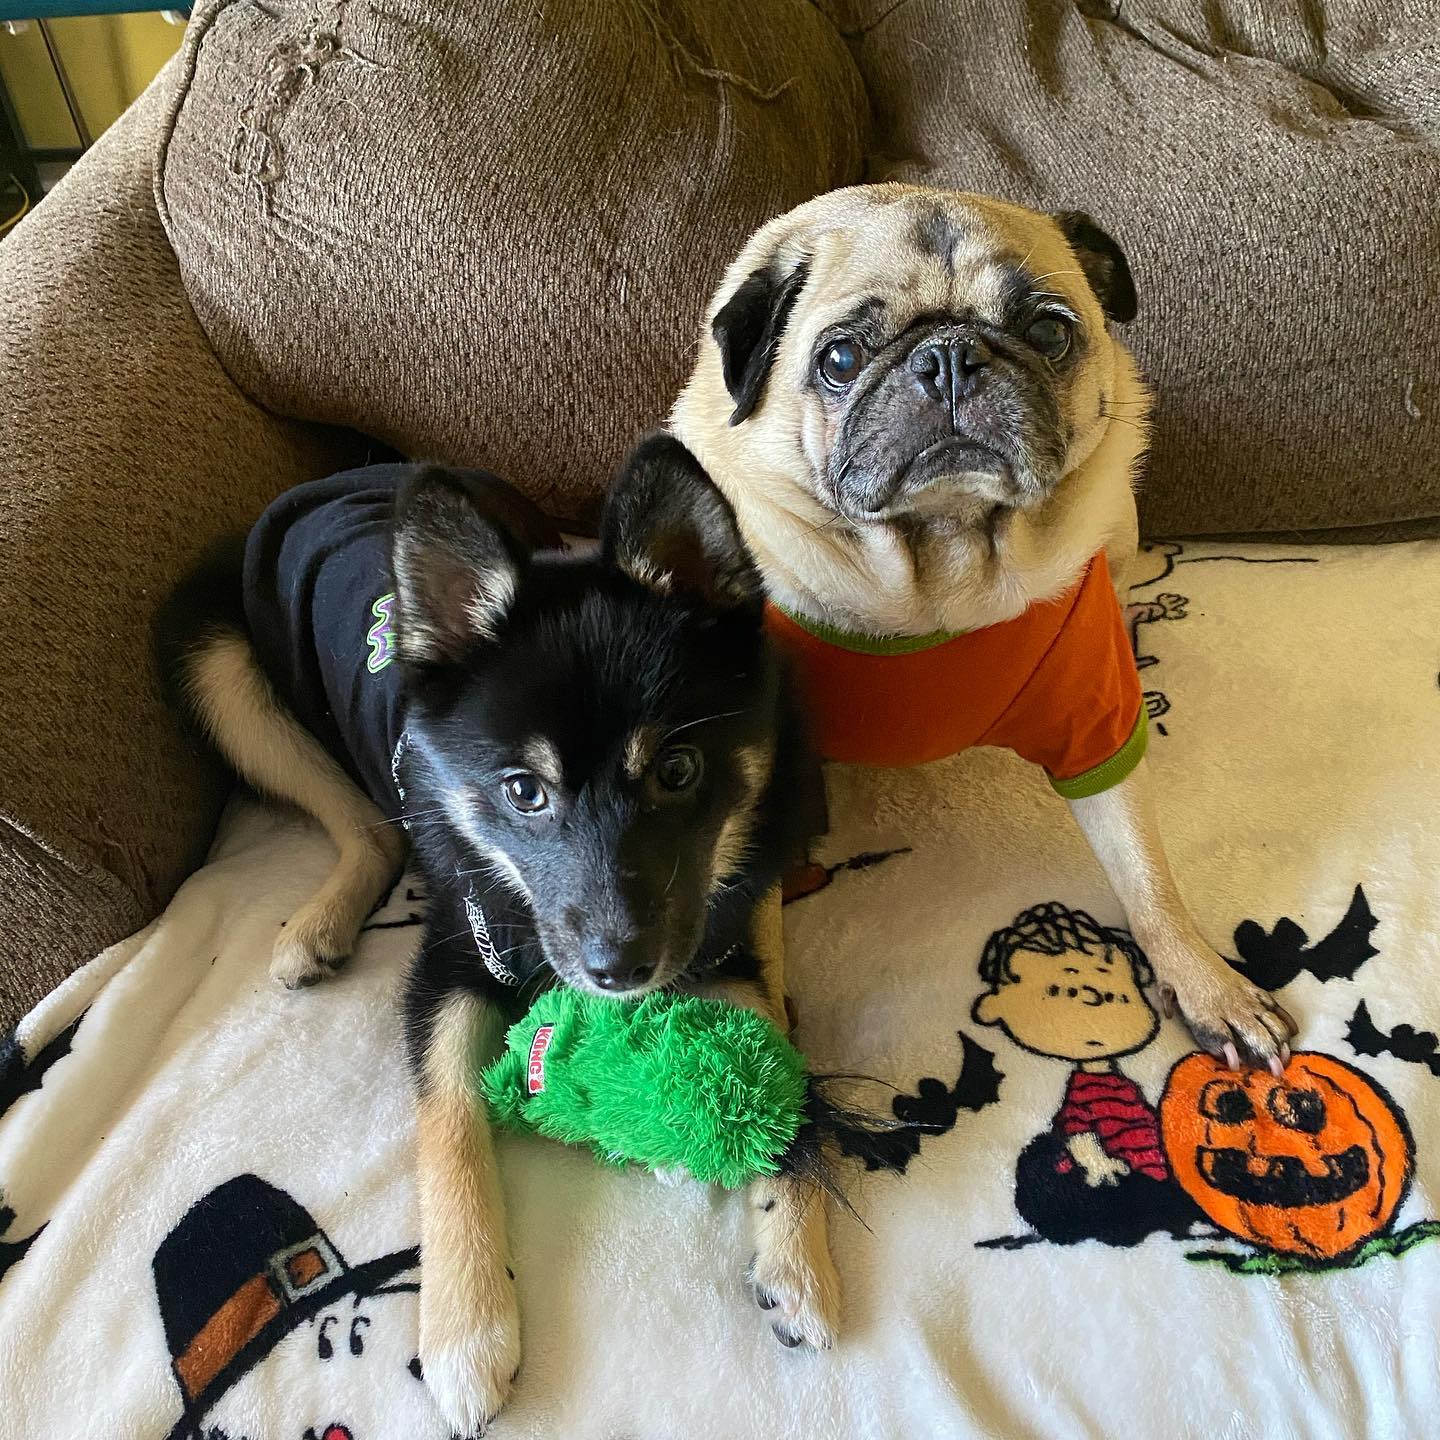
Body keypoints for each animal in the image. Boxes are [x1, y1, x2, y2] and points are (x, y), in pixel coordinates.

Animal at [155, 433, 837, 1436]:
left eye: (678, 769)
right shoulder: (448, 959)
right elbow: (449, 1124)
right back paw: (317, 925)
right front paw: (465, 1332)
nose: (620, 970)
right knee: (365, 823)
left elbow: (784, 1067)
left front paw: (797, 1255)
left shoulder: (720, 940)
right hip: (210, 655)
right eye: (524, 791)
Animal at [671, 183, 1297, 1074]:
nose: (949, 359)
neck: (939, 572)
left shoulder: (1094, 720)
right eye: (840, 361)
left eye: (1048, 332)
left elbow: (1146, 873)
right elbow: (752, 926)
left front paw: (1207, 983)